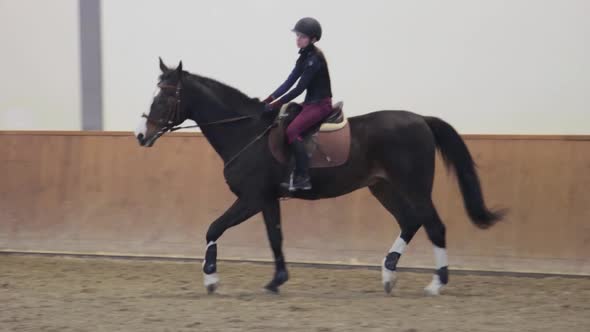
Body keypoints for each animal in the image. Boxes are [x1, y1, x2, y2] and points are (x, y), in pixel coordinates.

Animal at [136, 59, 506, 296]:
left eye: (165, 97)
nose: (141, 135)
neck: (246, 132)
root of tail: (421, 119)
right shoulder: (267, 199)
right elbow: (275, 237)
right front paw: (277, 280)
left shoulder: (251, 198)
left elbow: (214, 228)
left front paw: (211, 280)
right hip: (383, 188)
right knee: (410, 221)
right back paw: (388, 274)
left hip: (414, 186)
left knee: (434, 226)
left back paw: (436, 284)